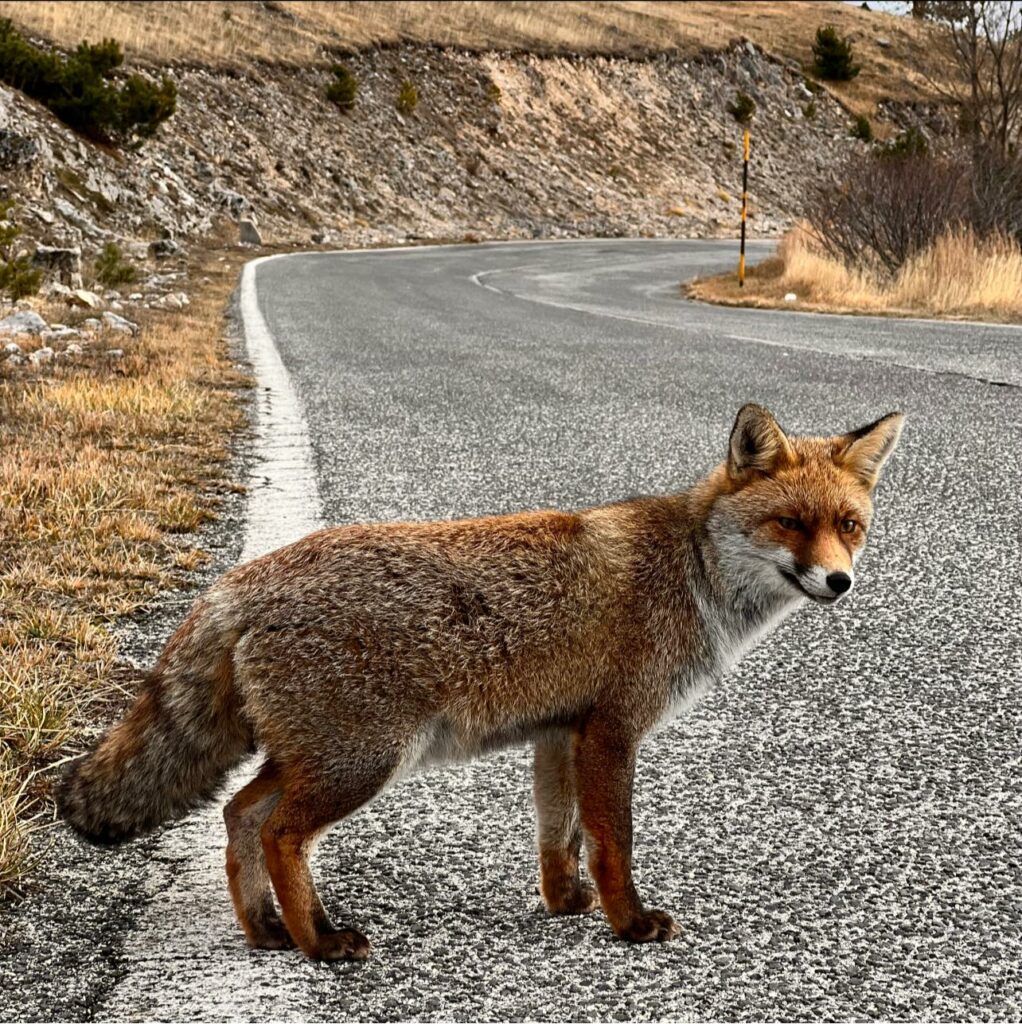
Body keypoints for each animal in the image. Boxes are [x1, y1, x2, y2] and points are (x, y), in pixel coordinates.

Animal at [58, 401, 905, 958]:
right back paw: (318, 943)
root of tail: (240, 581)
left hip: (316, 758)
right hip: (360, 763)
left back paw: (265, 931)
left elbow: (559, 837)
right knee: (277, 833)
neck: (690, 571)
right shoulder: (613, 731)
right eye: (791, 523)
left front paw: (564, 905)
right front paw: (628, 924)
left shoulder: (560, 732)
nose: (839, 582)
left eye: (849, 527)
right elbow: (614, 842)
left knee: (238, 815)